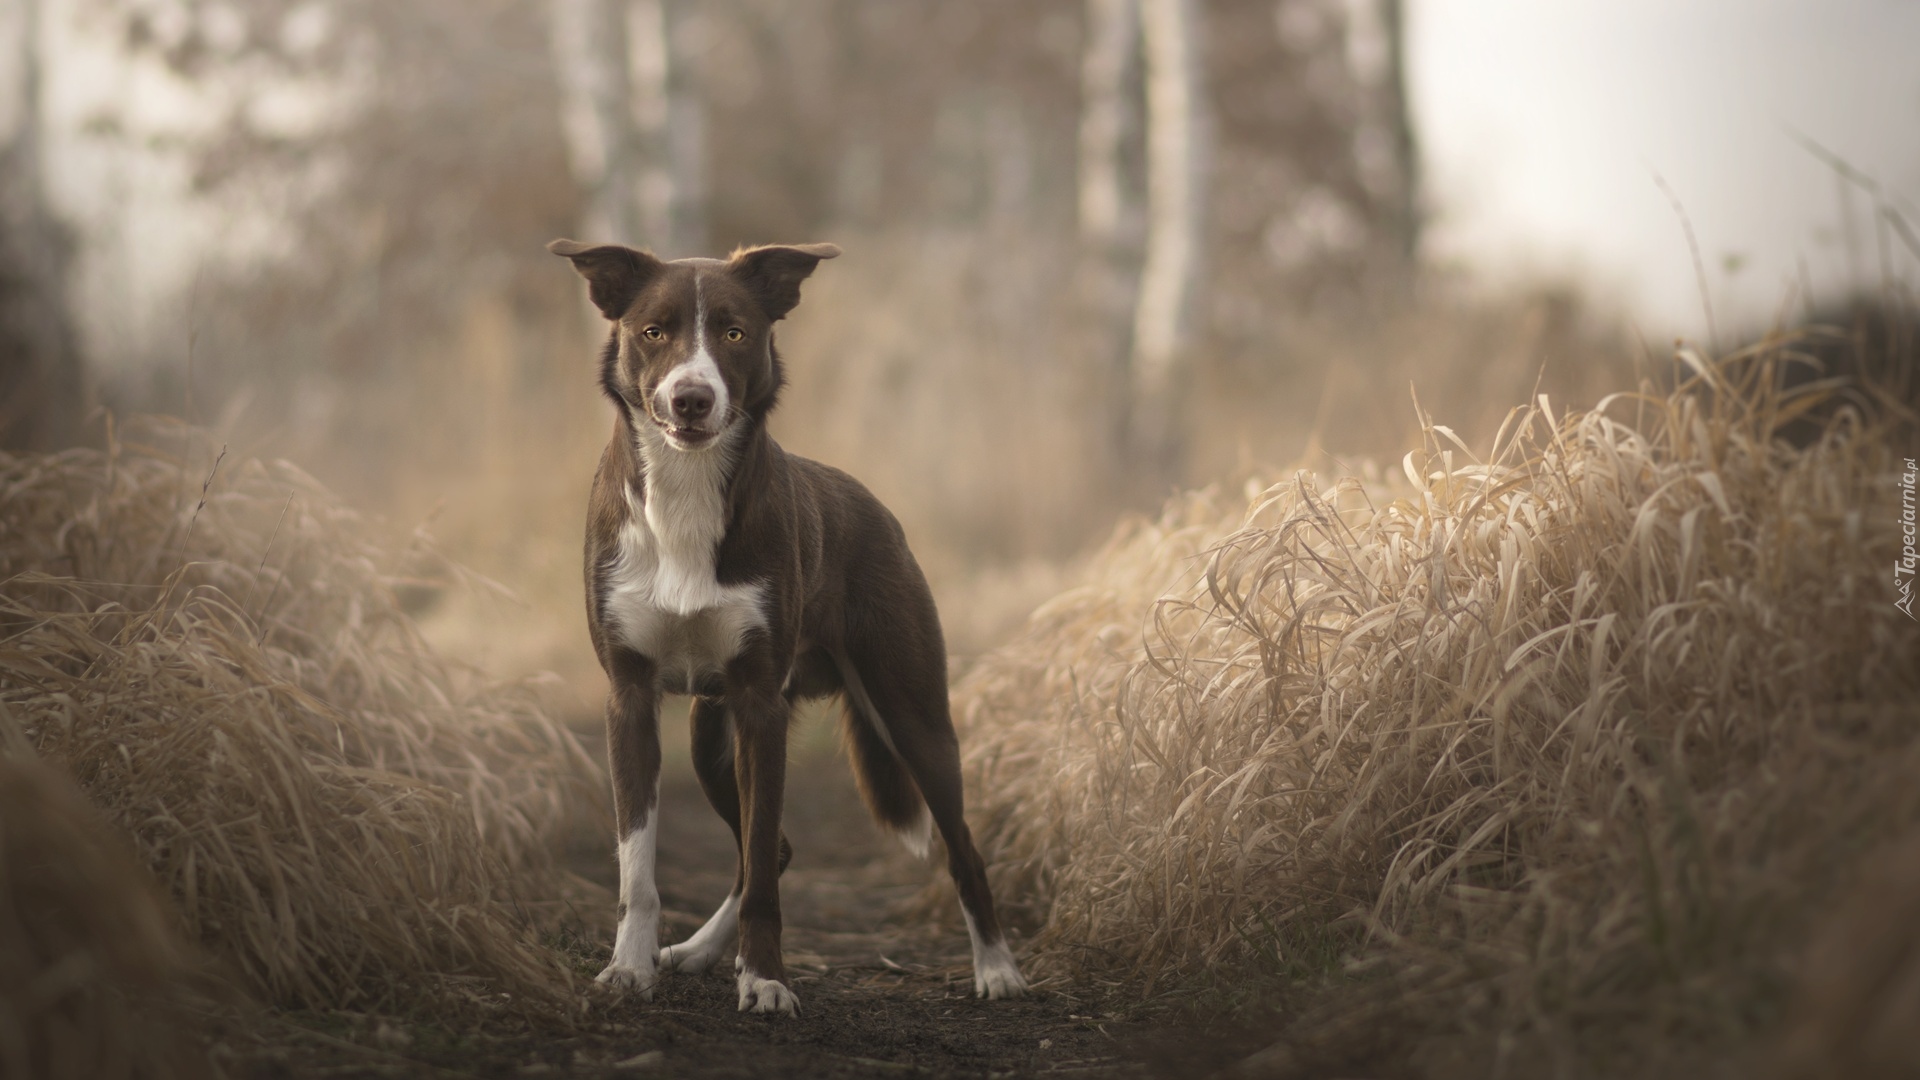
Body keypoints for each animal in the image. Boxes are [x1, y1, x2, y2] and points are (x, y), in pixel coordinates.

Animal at [549, 233, 1029, 1006]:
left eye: (735, 333)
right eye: (653, 331)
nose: (691, 398)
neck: (686, 495)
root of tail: (876, 508)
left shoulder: (759, 704)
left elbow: (762, 877)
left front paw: (766, 981)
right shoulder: (632, 697)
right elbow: (638, 866)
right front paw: (630, 966)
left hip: (913, 713)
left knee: (959, 849)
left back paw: (998, 970)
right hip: (709, 735)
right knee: (771, 848)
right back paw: (696, 951)